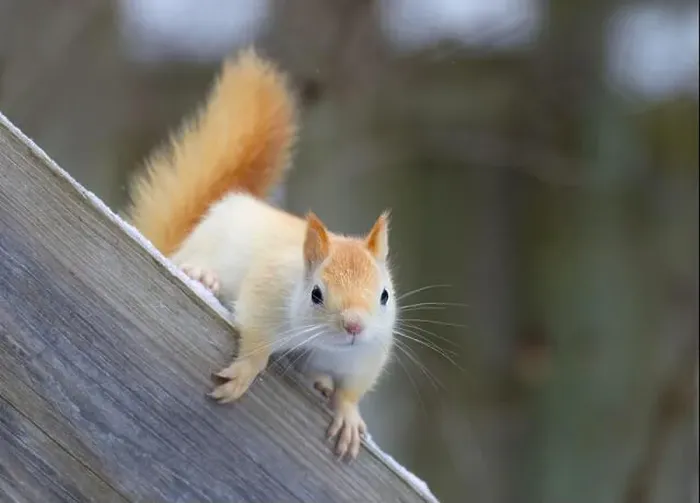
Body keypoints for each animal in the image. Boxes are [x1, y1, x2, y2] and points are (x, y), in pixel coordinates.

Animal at [126, 48, 396, 461]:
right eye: (316, 293)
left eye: (384, 295)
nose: (354, 326)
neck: (322, 343)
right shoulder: (267, 296)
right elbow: (256, 341)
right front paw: (245, 372)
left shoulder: (364, 354)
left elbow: (351, 390)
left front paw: (349, 415)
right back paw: (202, 276)